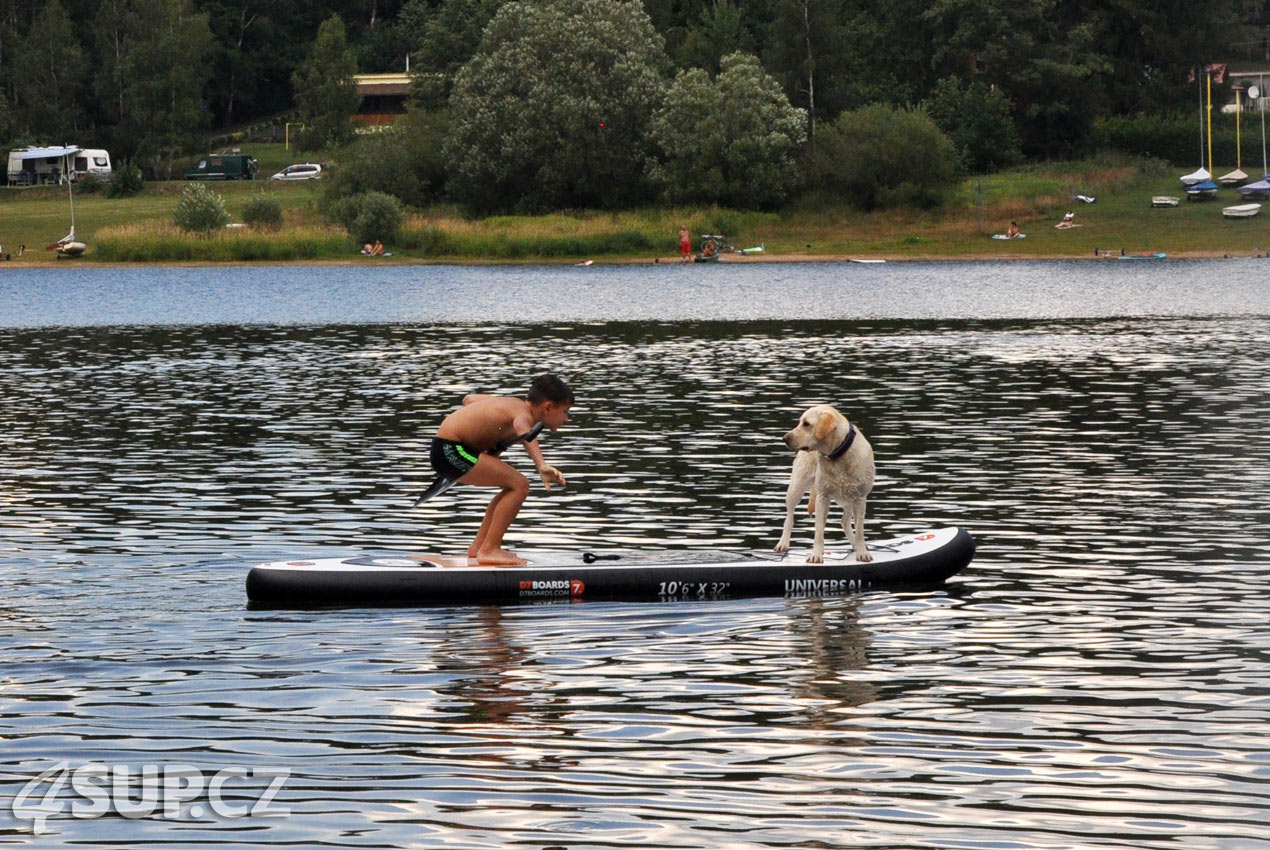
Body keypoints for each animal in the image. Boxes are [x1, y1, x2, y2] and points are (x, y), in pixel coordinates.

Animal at [772, 404, 873, 564]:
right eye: (800, 422)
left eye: (806, 424)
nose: (785, 438)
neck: (838, 455)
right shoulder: (822, 497)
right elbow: (819, 530)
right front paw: (816, 555)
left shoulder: (860, 498)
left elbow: (859, 530)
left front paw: (862, 552)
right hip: (796, 487)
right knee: (789, 517)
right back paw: (783, 543)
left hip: (848, 499)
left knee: (845, 521)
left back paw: (855, 545)